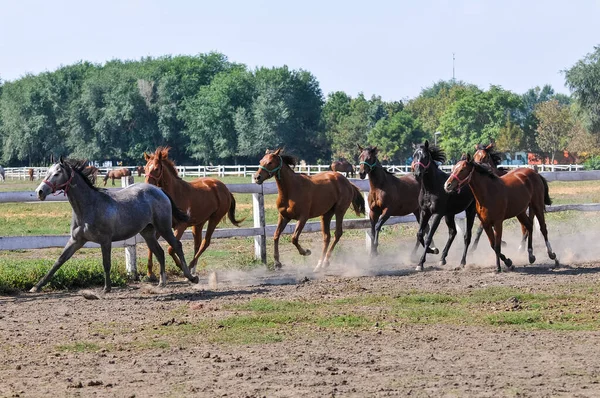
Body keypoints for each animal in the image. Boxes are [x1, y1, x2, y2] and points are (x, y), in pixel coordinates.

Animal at [32, 156, 199, 292]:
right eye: (47, 172)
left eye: (57, 173)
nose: (39, 192)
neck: (89, 207)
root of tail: (159, 190)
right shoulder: (76, 240)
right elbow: (59, 261)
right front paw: (37, 287)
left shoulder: (105, 241)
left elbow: (106, 263)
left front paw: (107, 288)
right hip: (148, 233)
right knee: (160, 252)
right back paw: (161, 282)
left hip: (163, 228)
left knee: (177, 246)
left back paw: (191, 277)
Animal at [144, 145, 245, 276]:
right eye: (145, 168)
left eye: (156, 169)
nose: (146, 185)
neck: (174, 194)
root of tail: (225, 189)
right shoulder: (162, 227)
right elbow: (152, 246)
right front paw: (150, 273)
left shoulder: (181, 226)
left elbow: (171, 248)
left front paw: (181, 266)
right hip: (198, 224)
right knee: (197, 244)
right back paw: (192, 269)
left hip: (214, 219)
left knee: (205, 242)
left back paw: (190, 266)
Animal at [410, 140, 476, 270]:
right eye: (414, 155)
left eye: (425, 156)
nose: (417, 173)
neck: (430, 188)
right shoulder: (424, 212)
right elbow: (420, 234)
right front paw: (434, 250)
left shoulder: (437, 214)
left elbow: (428, 237)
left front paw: (420, 263)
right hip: (449, 215)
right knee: (453, 232)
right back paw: (442, 258)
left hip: (471, 211)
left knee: (467, 236)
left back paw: (462, 262)